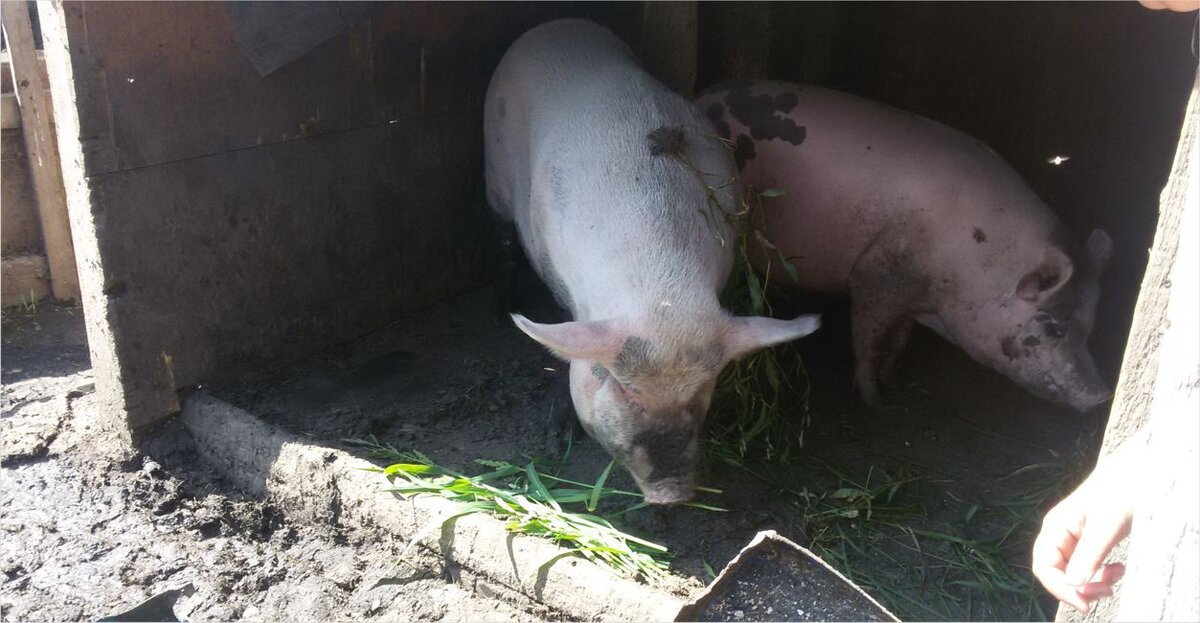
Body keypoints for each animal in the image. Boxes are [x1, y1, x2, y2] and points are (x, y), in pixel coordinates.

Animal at [482, 21, 820, 504]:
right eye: (621, 385)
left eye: (701, 394)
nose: (671, 494)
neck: (662, 285)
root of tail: (558, 24)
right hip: (493, 166)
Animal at [696, 81, 1113, 415]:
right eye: (1054, 326)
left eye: (1091, 326)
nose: (1101, 395)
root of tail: (706, 94)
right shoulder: (876, 274)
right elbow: (870, 340)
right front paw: (875, 401)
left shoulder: (912, 295)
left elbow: (899, 341)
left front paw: (893, 383)